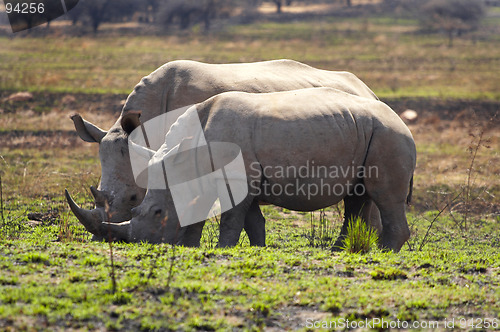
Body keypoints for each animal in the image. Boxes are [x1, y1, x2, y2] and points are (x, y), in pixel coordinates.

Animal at [75, 88, 418, 252]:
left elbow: (231, 217)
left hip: (388, 136)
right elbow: (249, 219)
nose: (140, 242)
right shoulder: (238, 178)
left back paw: (383, 253)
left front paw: (221, 248)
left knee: (383, 196)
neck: (187, 156)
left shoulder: (237, 177)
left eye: (156, 212)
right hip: (366, 132)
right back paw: (339, 252)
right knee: (356, 197)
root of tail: (402, 121)